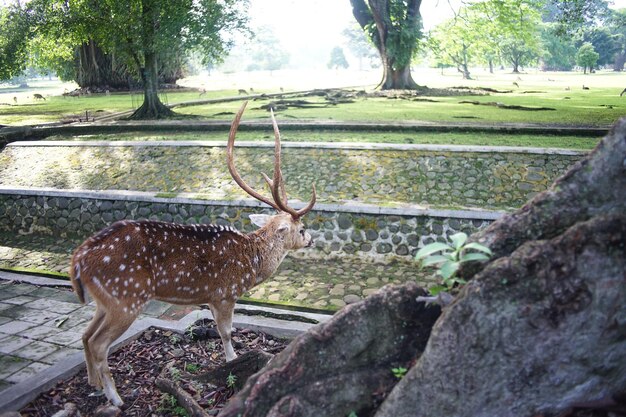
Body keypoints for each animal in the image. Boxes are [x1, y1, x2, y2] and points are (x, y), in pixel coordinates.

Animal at [69, 101, 316, 406]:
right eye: (302, 228)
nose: (312, 239)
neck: (251, 262)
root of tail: (78, 260)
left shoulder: (209, 297)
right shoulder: (225, 293)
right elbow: (226, 331)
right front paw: (232, 360)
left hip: (104, 301)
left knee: (84, 335)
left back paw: (93, 383)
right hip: (125, 297)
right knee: (98, 343)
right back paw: (115, 398)